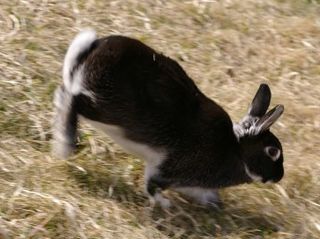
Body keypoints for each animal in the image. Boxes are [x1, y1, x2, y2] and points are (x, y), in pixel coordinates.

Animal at [52, 29, 284, 208]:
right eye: (272, 152)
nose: (279, 176)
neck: (236, 150)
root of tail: (94, 49)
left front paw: (213, 203)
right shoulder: (168, 170)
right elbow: (152, 186)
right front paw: (164, 204)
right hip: (109, 109)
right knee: (70, 99)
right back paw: (65, 143)